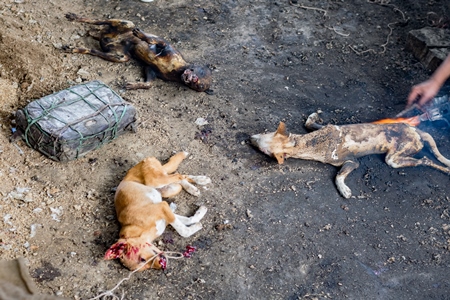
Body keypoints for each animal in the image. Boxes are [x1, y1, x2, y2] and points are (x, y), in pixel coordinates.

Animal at [63, 13, 213, 92]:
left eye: (198, 85)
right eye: (196, 76)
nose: (190, 79)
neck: (178, 70)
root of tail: (105, 35)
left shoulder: (151, 69)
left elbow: (149, 83)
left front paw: (134, 85)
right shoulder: (167, 48)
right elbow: (155, 41)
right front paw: (142, 36)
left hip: (121, 56)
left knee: (95, 50)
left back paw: (75, 47)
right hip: (125, 23)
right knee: (96, 20)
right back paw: (75, 18)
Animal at [251, 112, 450, 199]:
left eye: (263, 150)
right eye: (264, 132)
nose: (249, 138)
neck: (313, 142)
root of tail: (416, 130)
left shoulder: (352, 161)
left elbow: (339, 175)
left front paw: (344, 190)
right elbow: (308, 123)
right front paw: (314, 115)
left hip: (395, 157)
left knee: (425, 159)